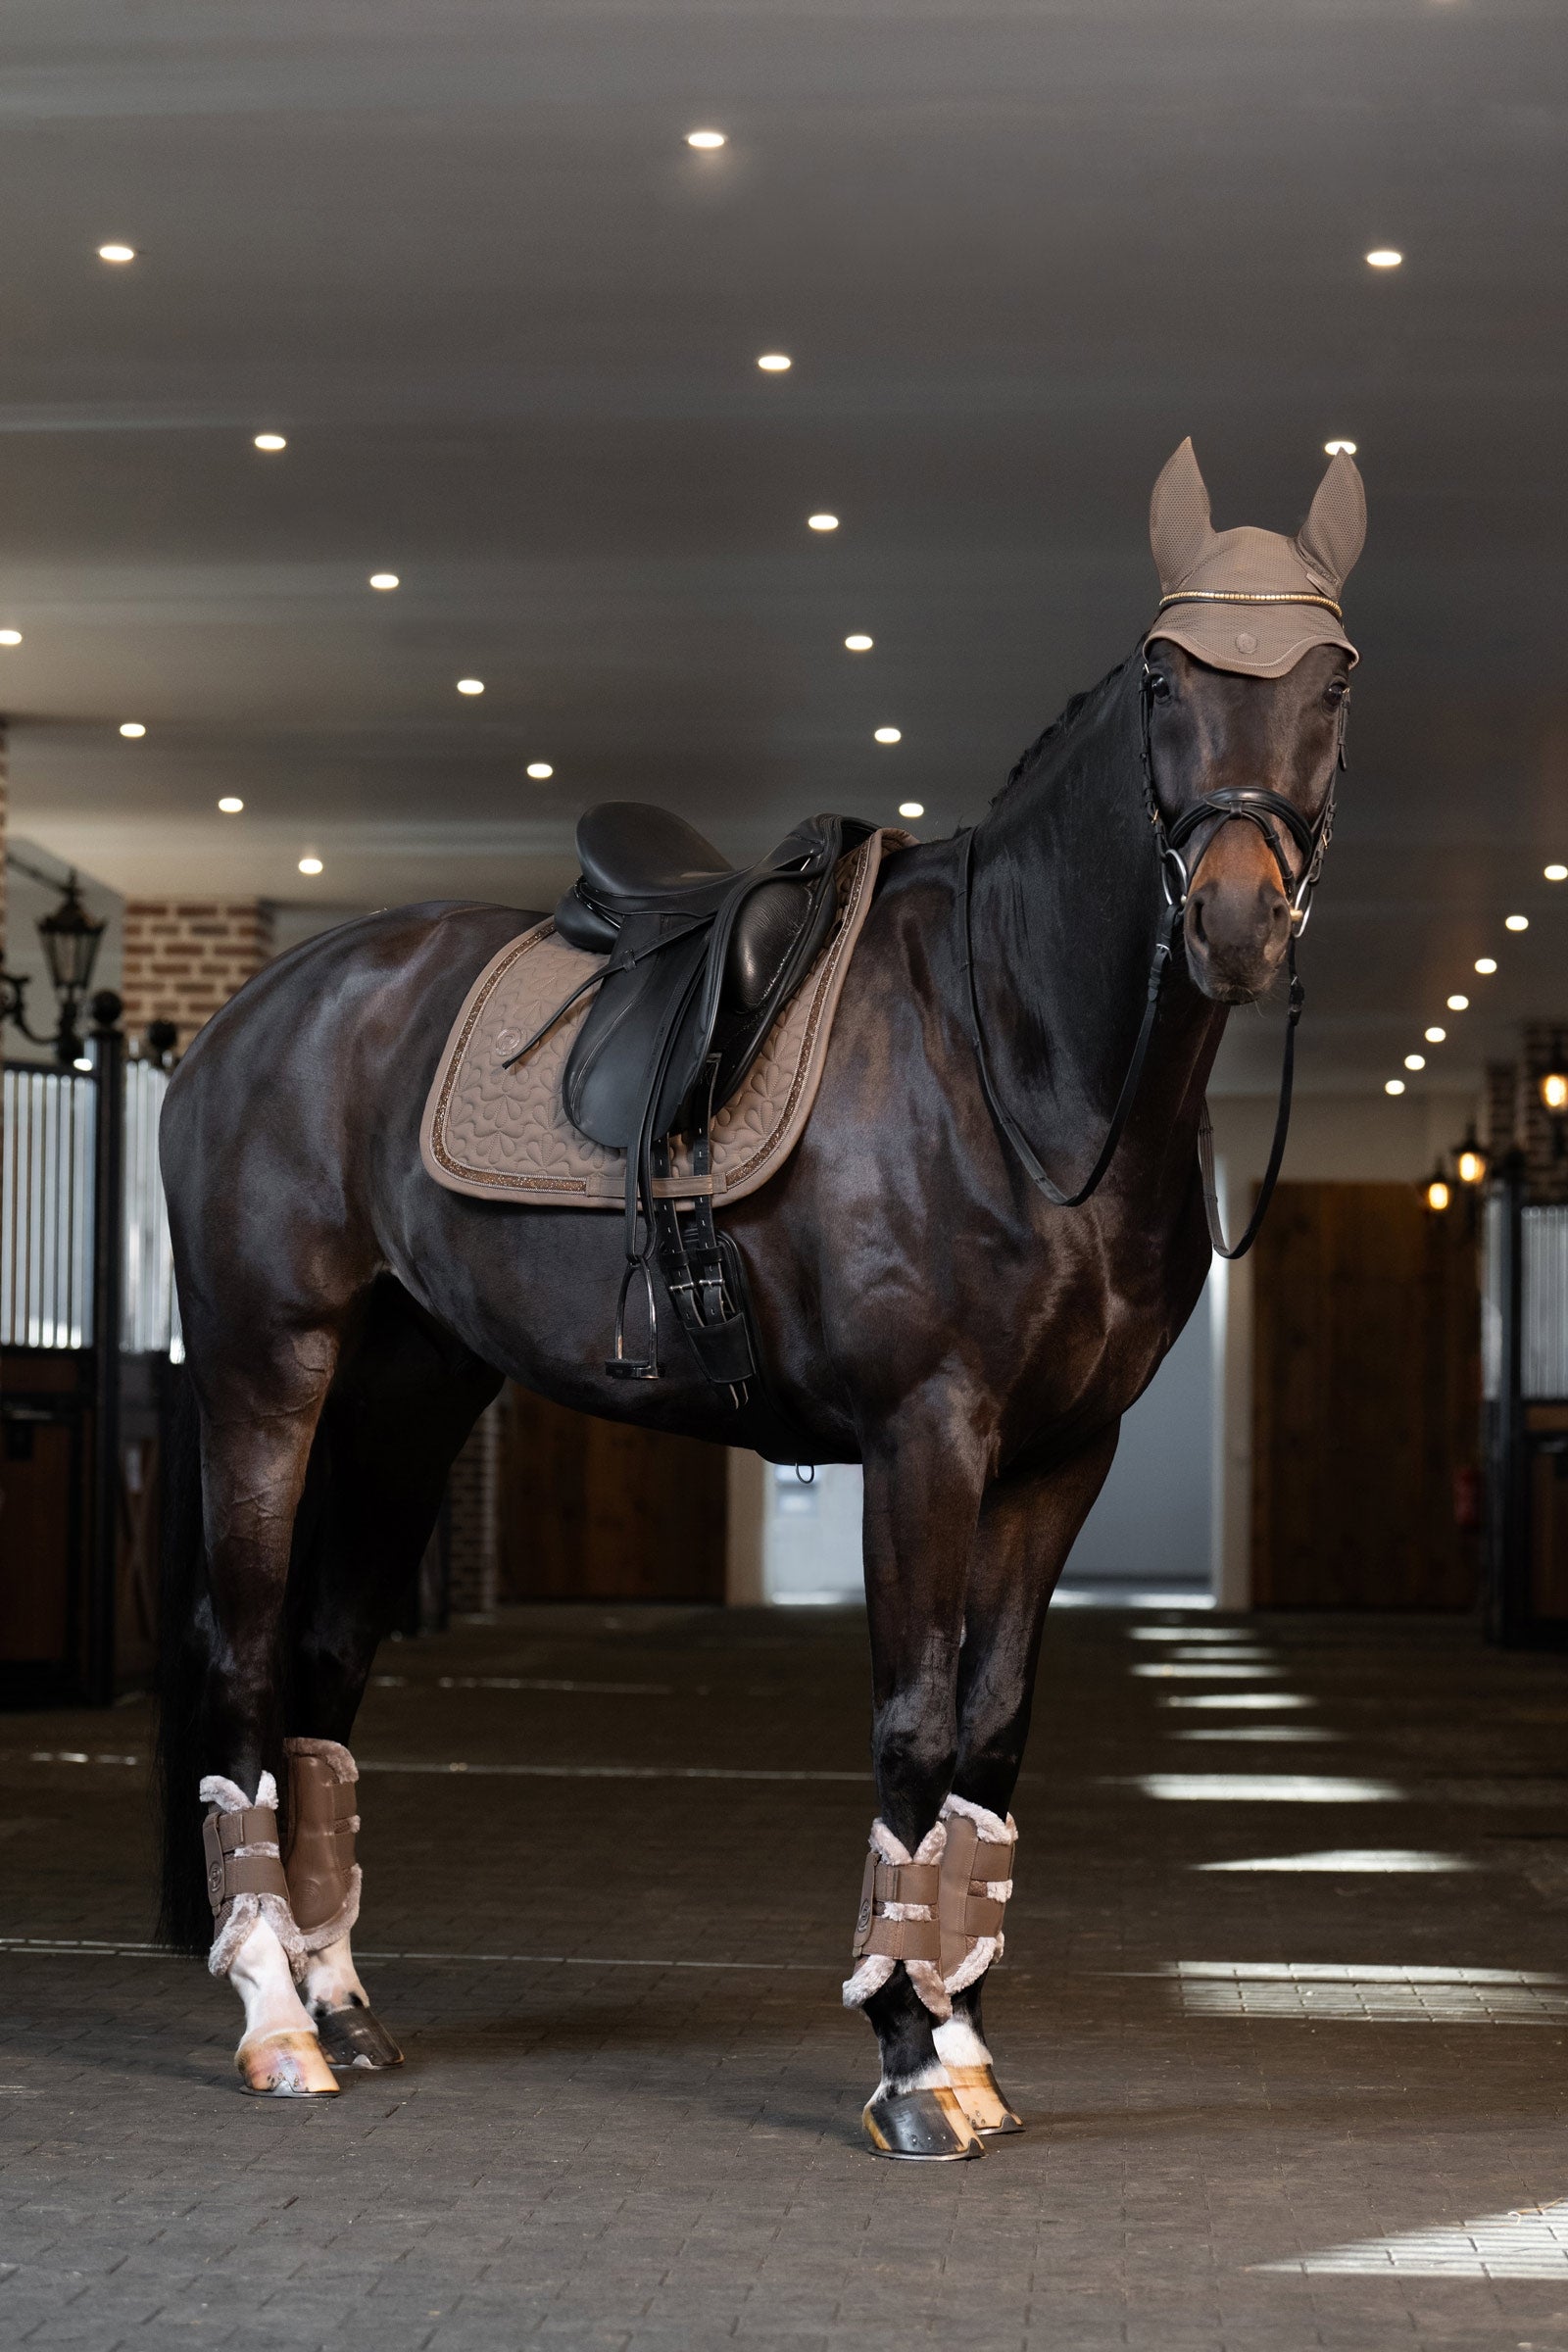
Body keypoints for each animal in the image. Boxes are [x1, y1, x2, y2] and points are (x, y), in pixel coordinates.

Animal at [156, 439, 1365, 2157]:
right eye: (1160, 672)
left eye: (1334, 675)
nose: (1237, 920)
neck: (1017, 1059)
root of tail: (256, 1011)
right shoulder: (927, 1437)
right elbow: (914, 1724)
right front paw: (911, 2061)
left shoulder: (1066, 1457)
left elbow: (993, 1734)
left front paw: (967, 2045)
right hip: (272, 1363)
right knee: (246, 1651)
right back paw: (272, 2019)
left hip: (409, 1387)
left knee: (327, 1654)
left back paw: (340, 2001)